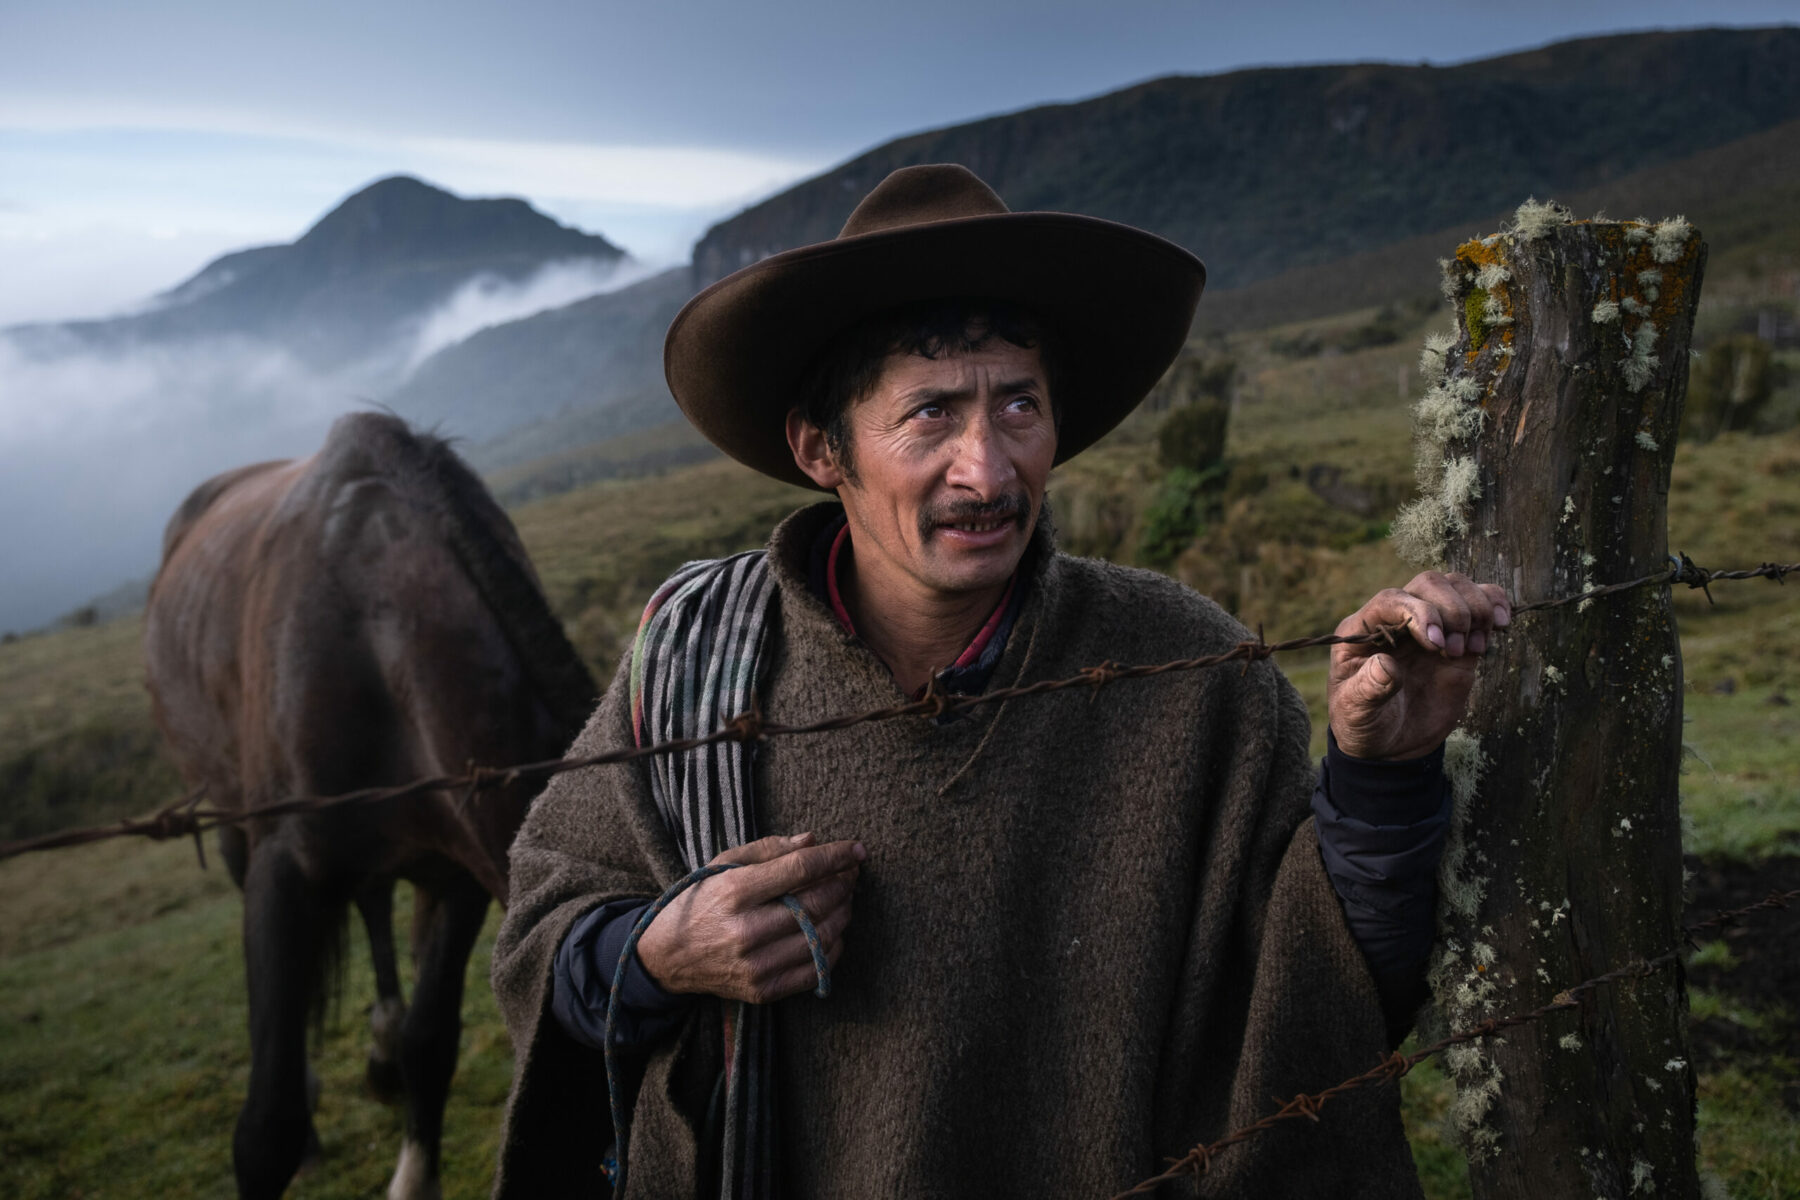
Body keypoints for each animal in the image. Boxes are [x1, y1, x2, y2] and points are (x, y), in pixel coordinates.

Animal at [145, 415, 597, 1200]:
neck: (377, 635)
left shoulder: (461, 876)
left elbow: (430, 1041)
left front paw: (414, 1168)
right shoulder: (286, 875)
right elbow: (266, 1127)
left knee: (376, 905)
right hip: (229, 823)